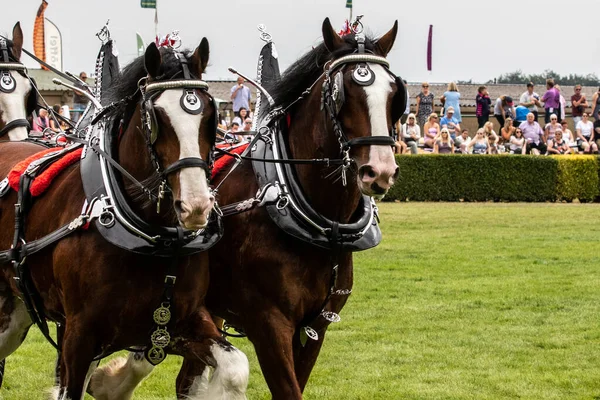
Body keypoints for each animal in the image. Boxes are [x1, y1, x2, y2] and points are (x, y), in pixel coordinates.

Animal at [0, 39, 248, 398]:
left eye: (210, 117)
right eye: (156, 118)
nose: (196, 205)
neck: (152, 238)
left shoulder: (178, 321)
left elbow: (235, 369)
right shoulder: (78, 334)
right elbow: (72, 387)